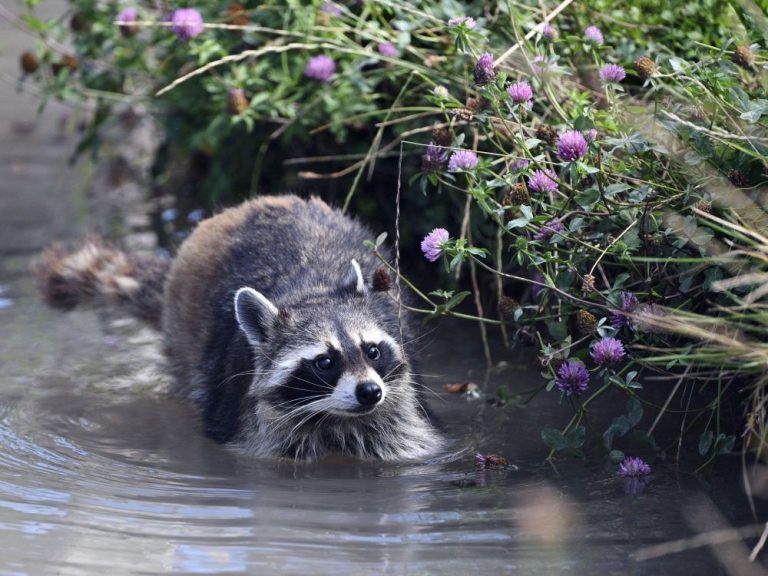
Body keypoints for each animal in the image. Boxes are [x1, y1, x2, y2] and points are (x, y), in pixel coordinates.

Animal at [36, 196, 444, 462]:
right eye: (325, 362)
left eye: (372, 350)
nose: (370, 392)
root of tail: (256, 203)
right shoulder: (247, 423)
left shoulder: (401, 403)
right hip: (185, 333)